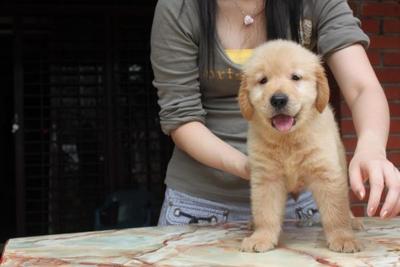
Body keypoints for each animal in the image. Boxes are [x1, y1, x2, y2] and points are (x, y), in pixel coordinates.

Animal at [239, 39, 360, 253]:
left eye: (295, 77)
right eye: (263, 80)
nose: (278, 99)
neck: (288, 139)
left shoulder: (327, 174)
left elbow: (336, 211)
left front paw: (343, 238)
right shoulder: (266, 177)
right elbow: (265, 212)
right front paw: (261, 237)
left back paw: (353, 221)